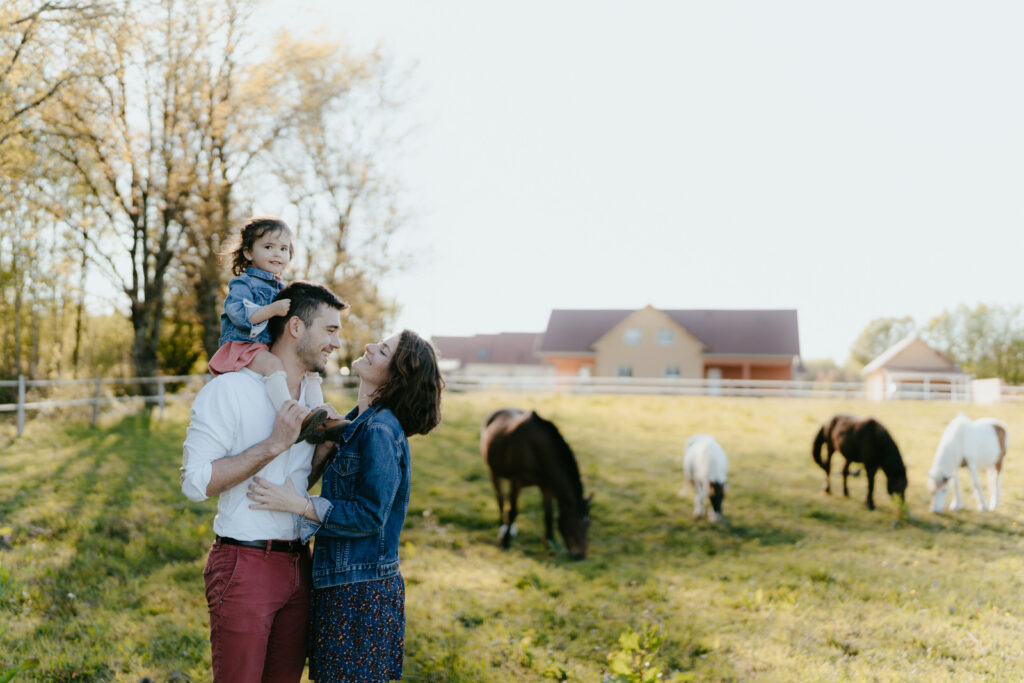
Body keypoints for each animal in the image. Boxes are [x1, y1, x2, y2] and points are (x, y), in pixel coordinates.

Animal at [479, 409, 593, 557]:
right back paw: (502, 527)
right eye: (575, 522)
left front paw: (550, 544)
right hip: (494, 471)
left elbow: (548, 515)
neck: (535, 450)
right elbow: (513, 511)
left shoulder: (547, 487)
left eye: (589, 523)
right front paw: (505, 542)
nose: (581, 555)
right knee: (501, 500)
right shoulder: (516, 482)